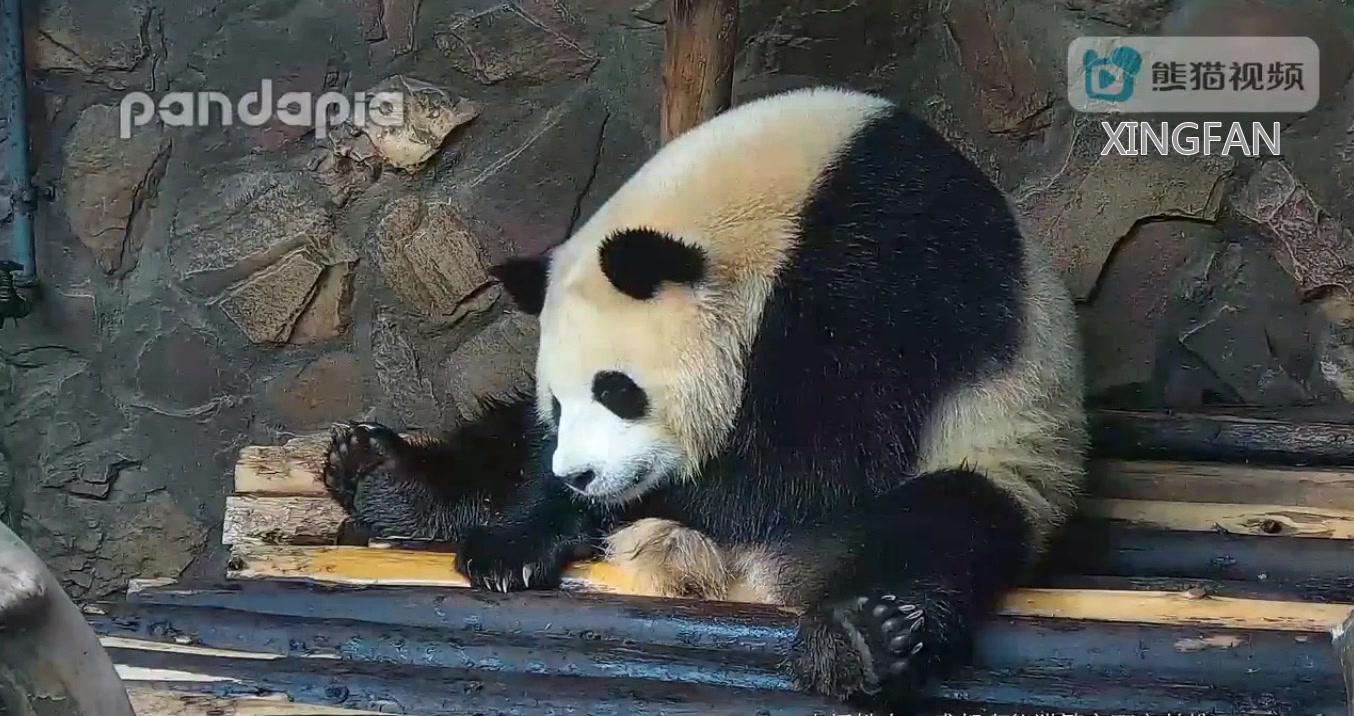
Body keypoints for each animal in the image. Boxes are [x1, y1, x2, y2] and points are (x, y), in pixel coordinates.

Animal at [324, 83, 1088, 709]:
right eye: (560, 406)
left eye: (617, 390)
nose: (581, 475)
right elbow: (530, 442)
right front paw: (515, 539)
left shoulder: (886, 267)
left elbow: (818, 457)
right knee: (496, 437)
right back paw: (383, 477)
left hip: (1005, 453)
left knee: (938, 531)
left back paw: (863, 637)